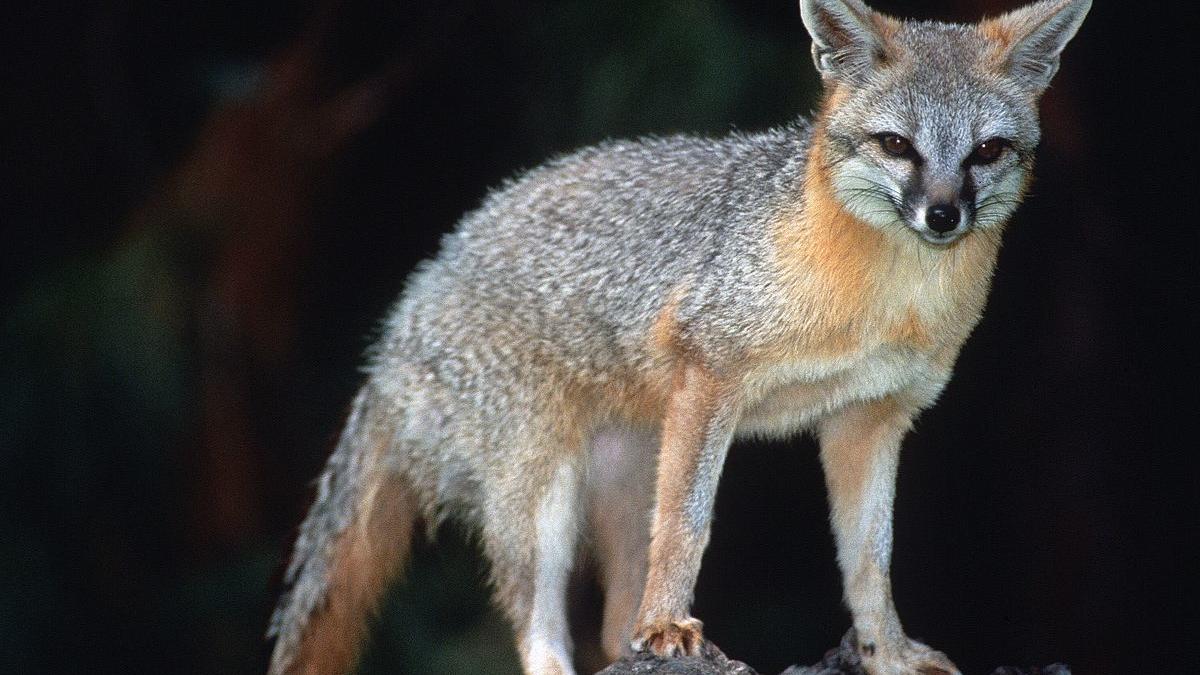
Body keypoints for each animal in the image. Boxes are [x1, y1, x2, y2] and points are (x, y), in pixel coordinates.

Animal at [267, 0, 1090, 673]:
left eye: (986, 152)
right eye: (897, 145)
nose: (943, 216)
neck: (885, 301)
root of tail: (402, 319)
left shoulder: (869, 419)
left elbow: (869, 561)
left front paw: (885, 651)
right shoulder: (709, 374)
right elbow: (690, 527)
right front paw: (668, 623)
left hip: (628, 479)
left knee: (609, 628)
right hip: (541, 499)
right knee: (540, 626)